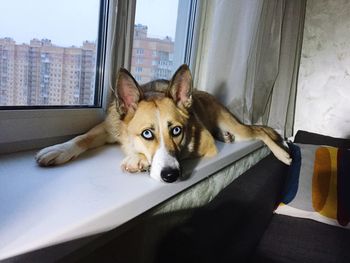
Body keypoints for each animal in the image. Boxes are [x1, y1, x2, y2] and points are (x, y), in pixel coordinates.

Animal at [36, 64, 292, 184]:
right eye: (147, 134)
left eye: (177, 130)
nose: (170, 176)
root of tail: (204, 93)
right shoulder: (109, 126)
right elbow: (83, 137)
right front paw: (58, 149)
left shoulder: (205, 146)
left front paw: (137, 159)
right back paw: (225, 136)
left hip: (238, 128)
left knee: (259, 131)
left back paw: (282, 151)